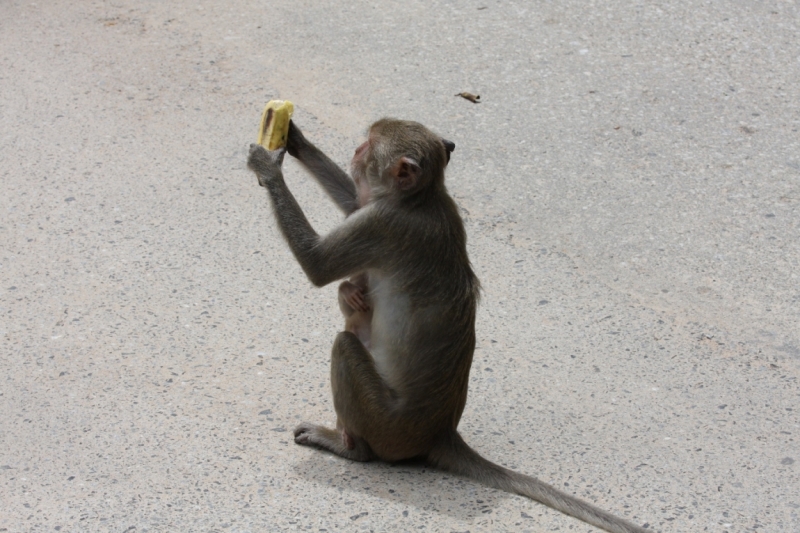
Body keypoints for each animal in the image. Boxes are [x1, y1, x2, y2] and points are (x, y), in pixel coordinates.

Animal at [248, 119, 648, 532]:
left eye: (368, 146)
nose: (355, 151)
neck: (423, 198)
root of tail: (441, 433)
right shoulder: (386, 212)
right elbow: (353, 203)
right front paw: (297, 139)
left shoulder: (385, 224)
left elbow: (318, 264)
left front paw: (268, 168)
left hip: (384, 424)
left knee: (344, 346)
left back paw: (348, 447)